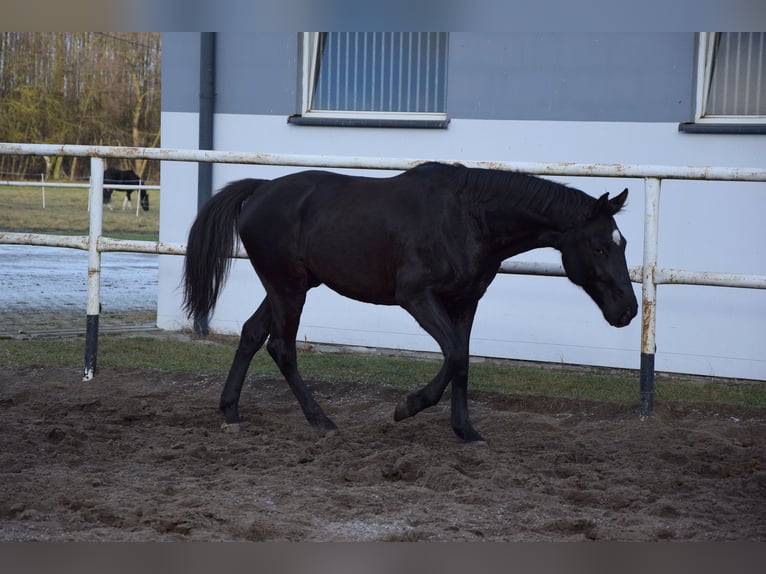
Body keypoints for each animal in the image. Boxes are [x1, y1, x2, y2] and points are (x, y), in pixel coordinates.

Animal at [183, 162, 638, 442]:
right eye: (599, 247)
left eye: (623, 244)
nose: (629, 310)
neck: (468, 218)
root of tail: (260, 189)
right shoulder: (417, 297)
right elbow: (453, 355)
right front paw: (408, 407)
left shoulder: (466, 302)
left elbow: (463, 361)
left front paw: (466, 432)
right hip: (288, 288)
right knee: (281, 347)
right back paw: (322, 421)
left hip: (288, 287)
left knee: (251, 335)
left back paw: (231, 413)